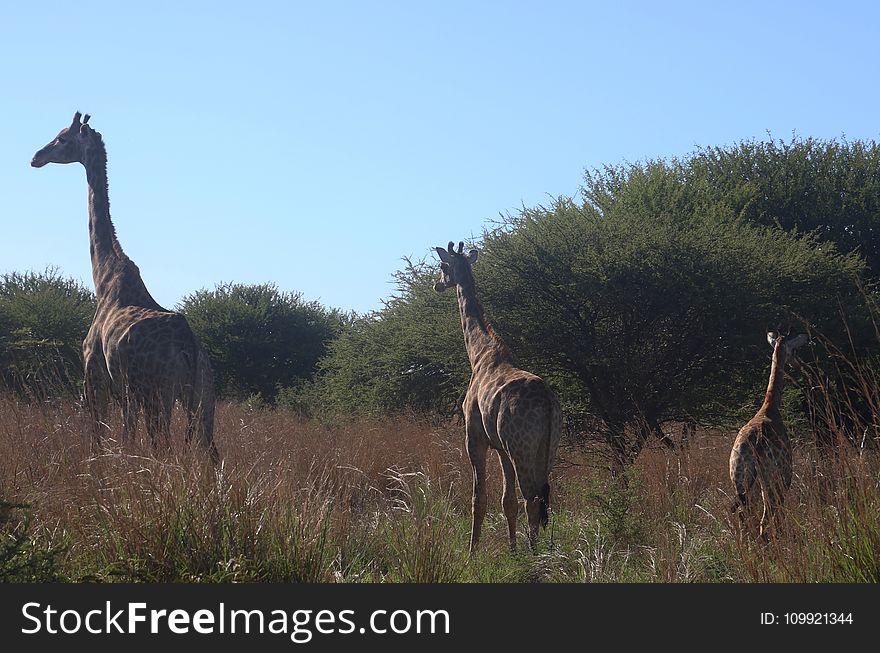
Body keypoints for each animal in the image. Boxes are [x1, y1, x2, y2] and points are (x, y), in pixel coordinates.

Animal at [31, 112, 218, 460]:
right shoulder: (125, 389)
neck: (103, 277)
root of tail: (187, 345)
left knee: (163, 447)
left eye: (62, 138)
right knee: (210, 451)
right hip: (203, 395)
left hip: (157, 393)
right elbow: (125, 436)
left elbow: (100, 435)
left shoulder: (95, 374)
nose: (36, 157)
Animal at [434, 239, 564, 552]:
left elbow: (478, 498)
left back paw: (534, 554)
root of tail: (548, 404)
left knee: (532, 498)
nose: (437, 284)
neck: (479, 354)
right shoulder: (502, 448)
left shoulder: (475, 438)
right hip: (547, 448)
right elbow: (507, 502)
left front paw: (472, 552)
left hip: (522, 448)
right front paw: (511, 549)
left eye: (443, 266)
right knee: (540, 497)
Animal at [728, 332, 812, 540]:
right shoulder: (785, 475)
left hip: (740, 479)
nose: (800, 365)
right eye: (794, 351)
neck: (769, 406)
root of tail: (752, 447)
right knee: (766, 518)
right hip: (771, 479)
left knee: (744, 516)